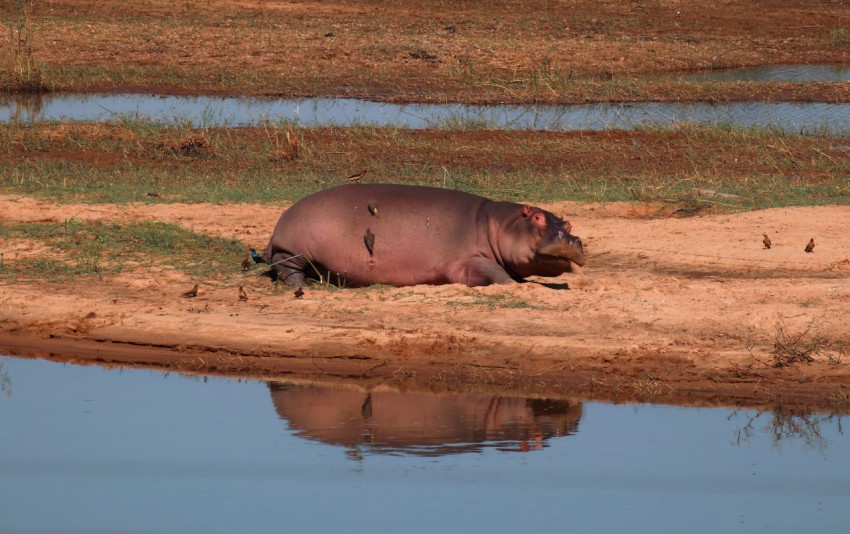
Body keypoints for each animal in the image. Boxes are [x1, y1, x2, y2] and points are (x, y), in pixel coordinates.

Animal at [264, 183, 584, 286]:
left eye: (568, 224)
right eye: (538, 217)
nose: (570, 238)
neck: (497, 223)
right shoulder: (467, 260)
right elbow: (497, 273)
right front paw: (513, 284)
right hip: (295, 249)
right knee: (285, 265)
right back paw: (305, 284)